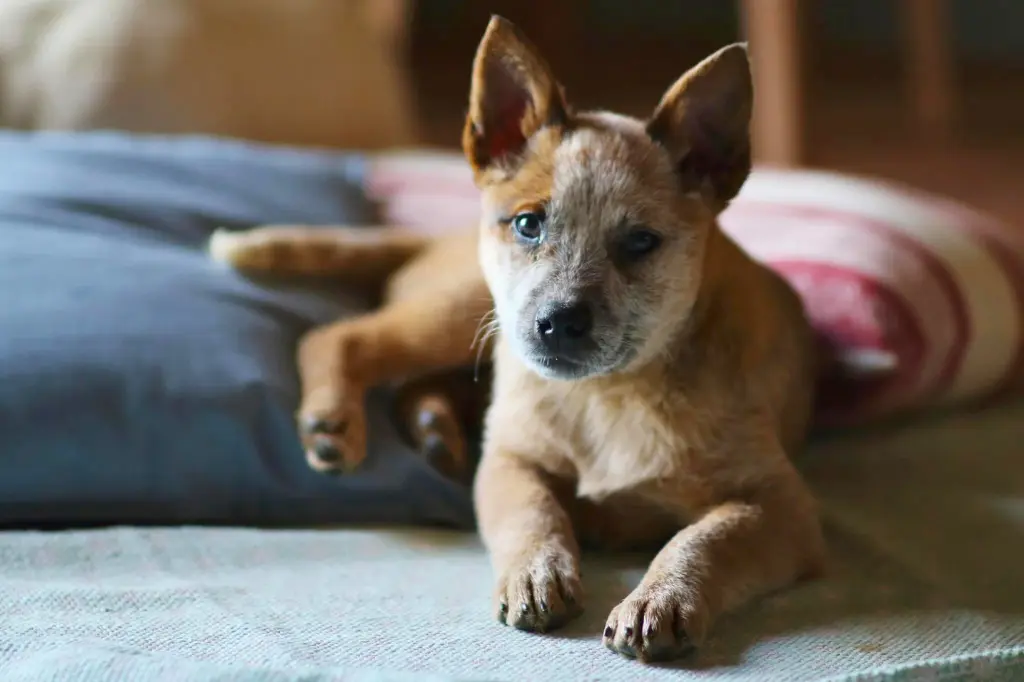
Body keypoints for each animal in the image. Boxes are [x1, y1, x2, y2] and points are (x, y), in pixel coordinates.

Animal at [211, 15, 827, 659]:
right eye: (529, 224)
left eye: (640, 242)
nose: (558, 321)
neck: (610, 395)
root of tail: (432, 238)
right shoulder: (512, 460)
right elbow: (532, 514)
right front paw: (536, 573)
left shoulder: (780, 505)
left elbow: (704, 539)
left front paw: (661, 599)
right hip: (463, 315)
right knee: (340, 336)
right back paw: (334, 423)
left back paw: (434, 432)